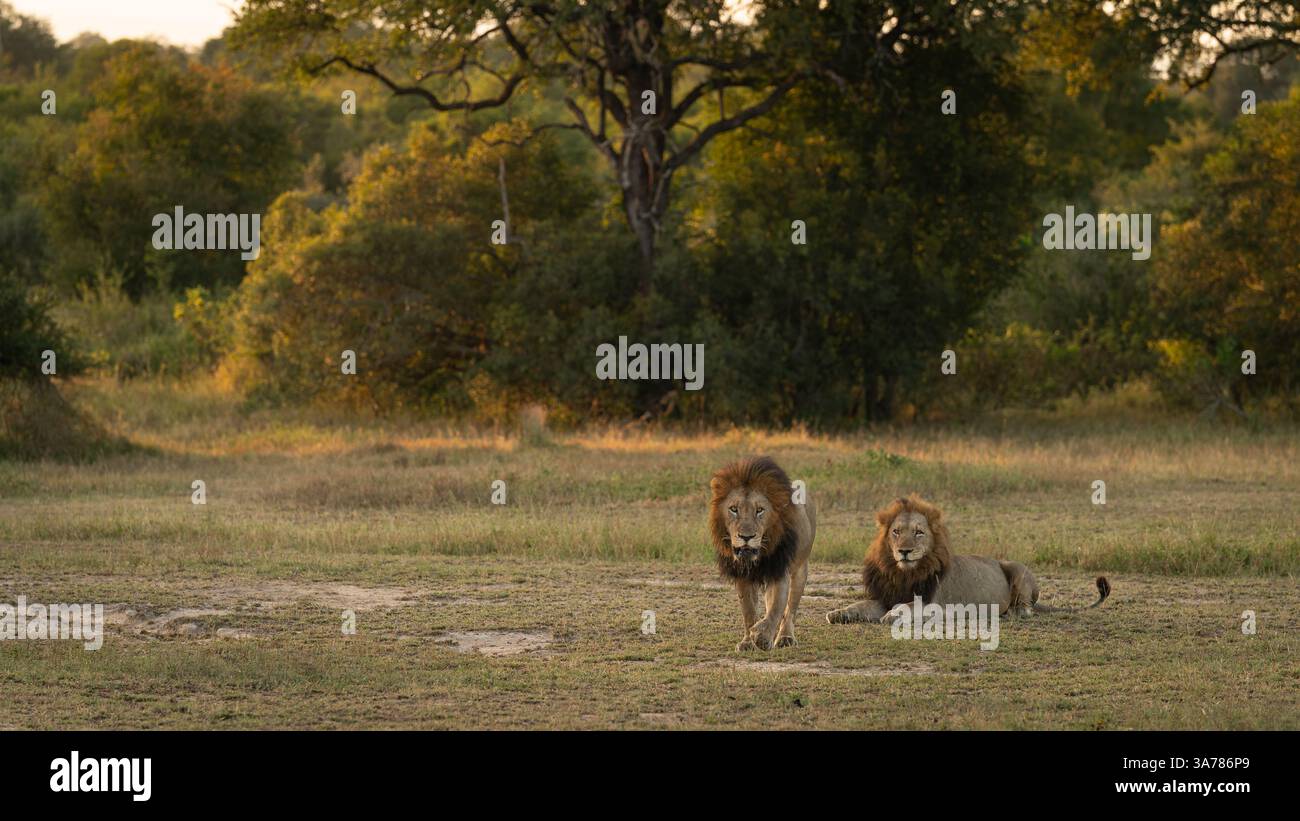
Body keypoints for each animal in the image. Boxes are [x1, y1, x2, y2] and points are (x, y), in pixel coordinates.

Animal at [710, 456, 816, 651]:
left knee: (791, 609)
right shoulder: (743, 576)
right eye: (733, 509)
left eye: (759, 510)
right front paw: (747, 641)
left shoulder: (779, 570)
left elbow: (776, 608)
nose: (746, 537)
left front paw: (762, 637)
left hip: (800, 568)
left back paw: (785, 637)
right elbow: (748, 611)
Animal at [825, 494, 1109, 624]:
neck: (905, 573)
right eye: (896, 532)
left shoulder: (937, 605)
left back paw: (1011, 612)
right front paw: (838, 612)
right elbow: (861, 605)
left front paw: (892, 616)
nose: (904, 551)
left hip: (1017, 569)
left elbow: (909, 606)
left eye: (918, 532)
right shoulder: (885, 595)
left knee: (1027, 607)